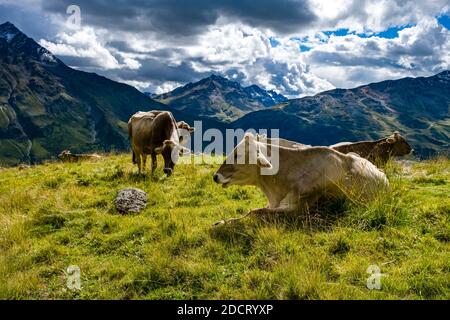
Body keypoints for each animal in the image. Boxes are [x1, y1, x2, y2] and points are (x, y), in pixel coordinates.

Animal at [213, 131, 388, 224]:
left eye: (238, 155)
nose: (215, 176)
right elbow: (251, 211)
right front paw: (222, 222)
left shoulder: (299, 208)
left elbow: (256, 212)